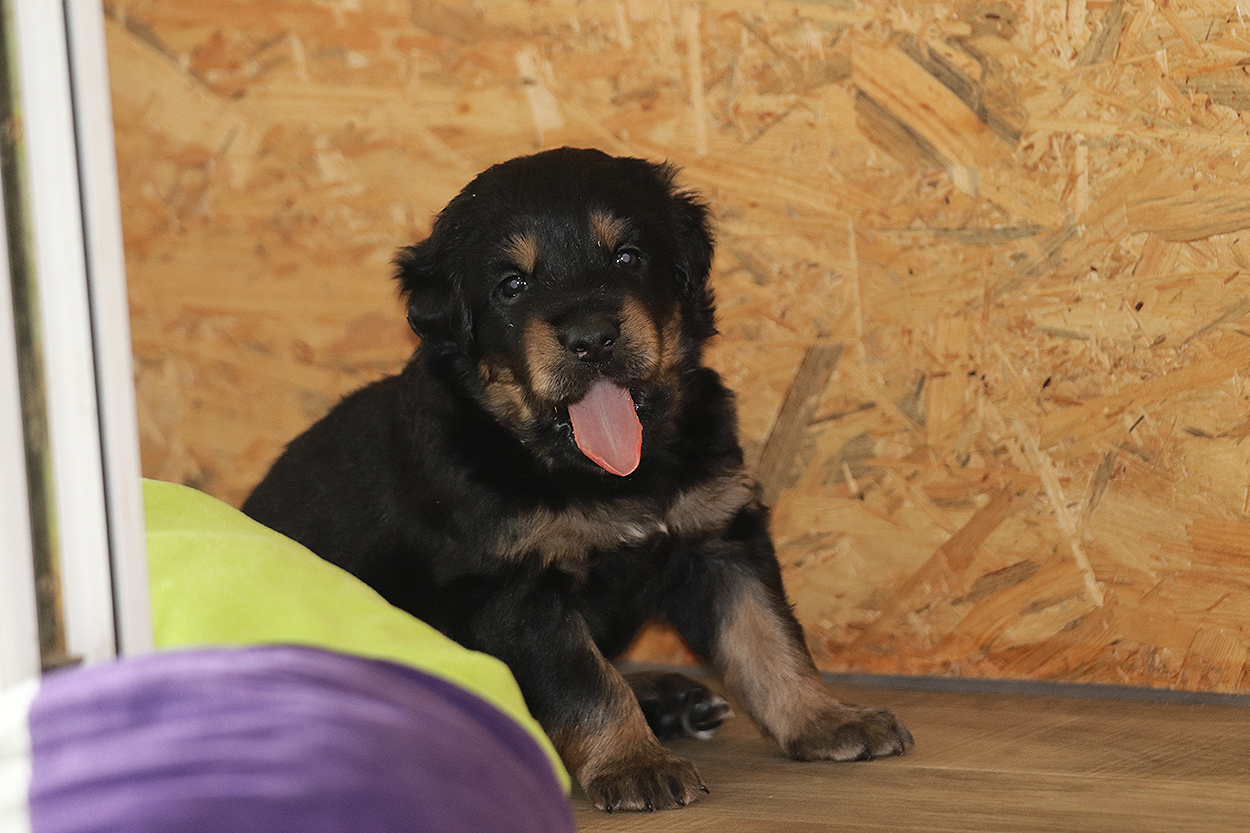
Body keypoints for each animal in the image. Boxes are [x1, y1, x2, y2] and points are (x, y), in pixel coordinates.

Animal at [243, 147, 912, 812]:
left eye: (627, 257)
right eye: (512, 285)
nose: (592, 339)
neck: (605, 472)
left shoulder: (719, 536)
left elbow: (769, 638)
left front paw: (828, 720)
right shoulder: (520, 585)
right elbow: (586, 682)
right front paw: (635, 763)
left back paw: (674, 699)